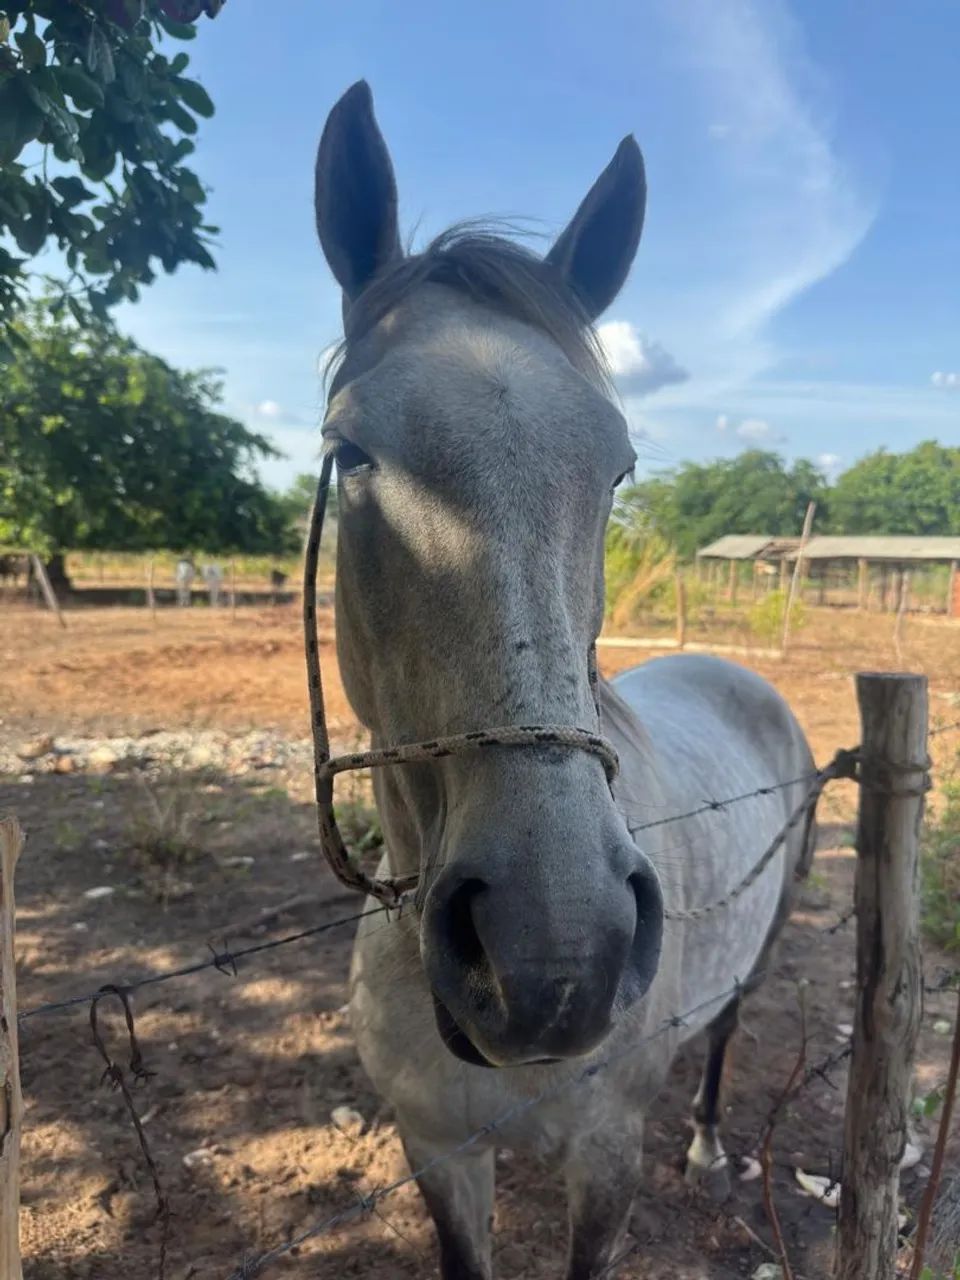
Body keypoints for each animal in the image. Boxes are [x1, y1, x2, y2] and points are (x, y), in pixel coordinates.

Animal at [313, 82, 816, 1280]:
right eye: (350, 454)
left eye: (619, 468)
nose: (557, 957)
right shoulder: (438, 1153)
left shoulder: (605, 1159)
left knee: (729, 1030)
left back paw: (712, 1145)